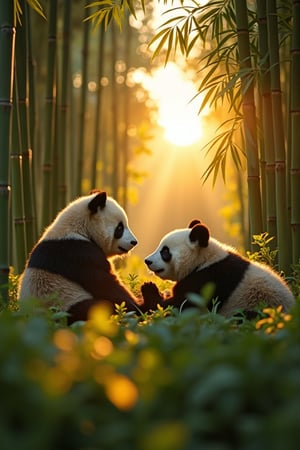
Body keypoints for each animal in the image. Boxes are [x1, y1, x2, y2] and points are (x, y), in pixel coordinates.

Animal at [18, 190, 143, 324]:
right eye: (120, 228)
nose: (134, 242)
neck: (79, 229)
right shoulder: (78, 253)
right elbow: (105, 284)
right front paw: (141, 305)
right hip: (65, 303)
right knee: (95, 308)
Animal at [141, 219, 296, 316]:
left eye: (165, 252)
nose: (147, 261)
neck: (204, 260)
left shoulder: (208, 280)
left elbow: (178, 307)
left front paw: (149, 288)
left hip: (255, 306)